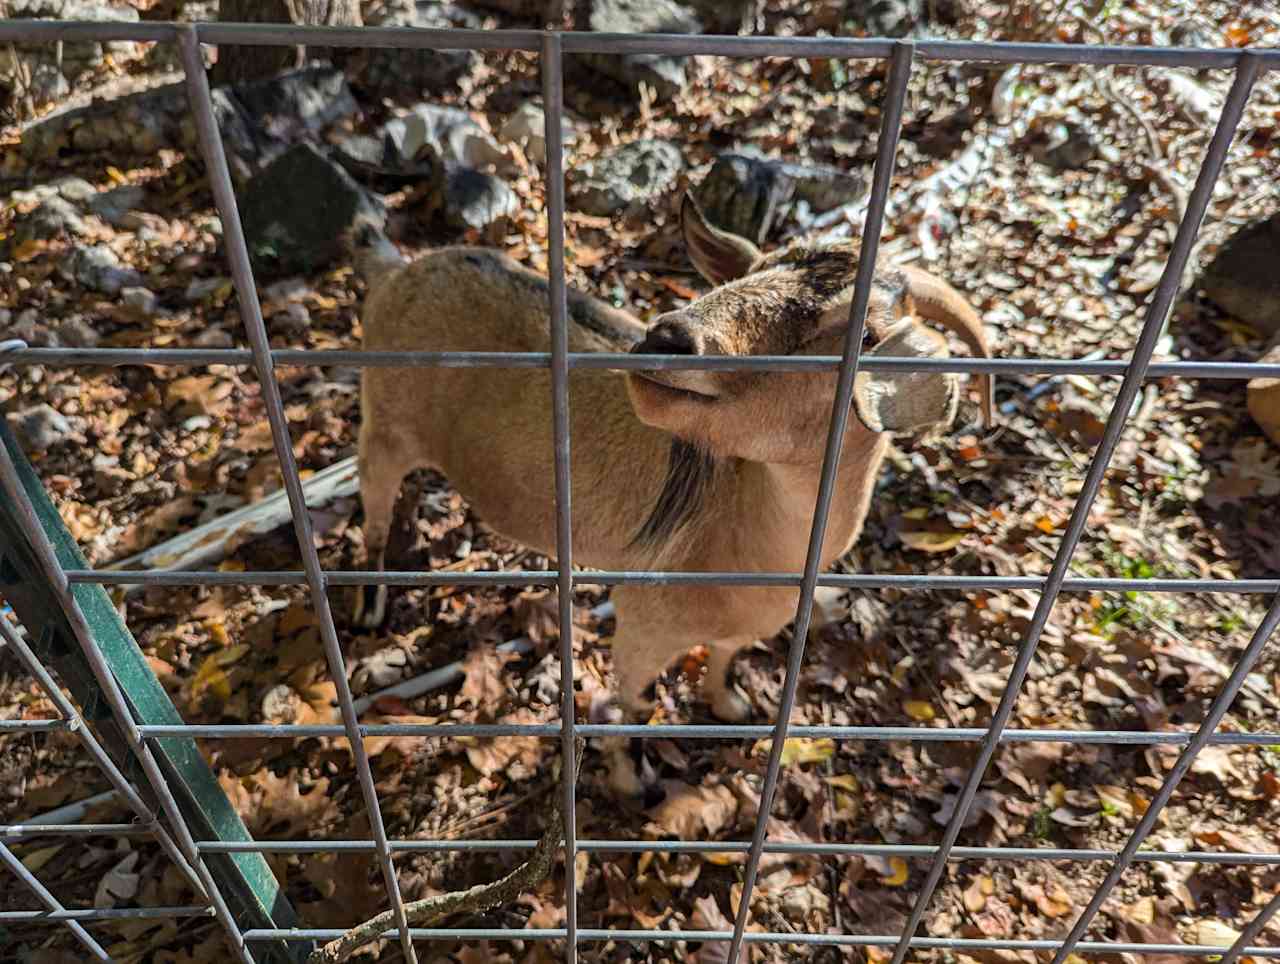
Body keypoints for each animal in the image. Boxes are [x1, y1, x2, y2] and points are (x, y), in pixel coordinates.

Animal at [350, 192, 988, 793]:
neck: (745, 544)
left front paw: (730, 705)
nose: (669, 335)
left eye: (866, 333)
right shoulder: (643, 626)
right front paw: (634, 782)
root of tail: (396, 271)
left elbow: (726, 659)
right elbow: (630, 705)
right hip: (384, 425)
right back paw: (370, 604)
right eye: (751, 271)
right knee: (373, 504)